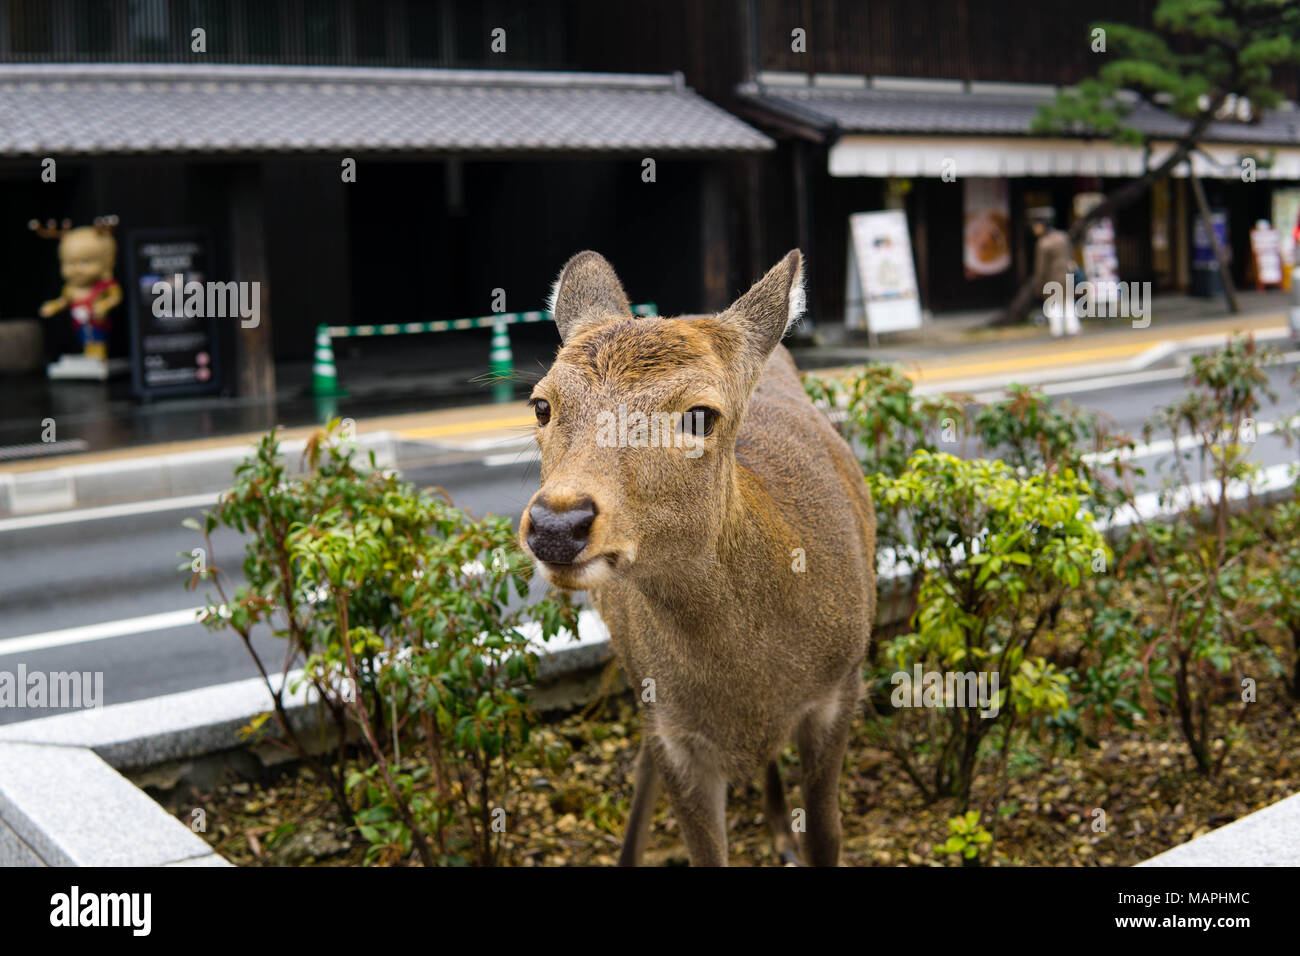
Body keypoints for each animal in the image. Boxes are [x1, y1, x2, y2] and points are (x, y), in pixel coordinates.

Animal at [522, 251, 878, 863]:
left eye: (700, 415)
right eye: (542, 404)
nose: (556, 525)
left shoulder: (842, 685)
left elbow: (828, 836)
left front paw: (797, 837)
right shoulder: (676, 733)